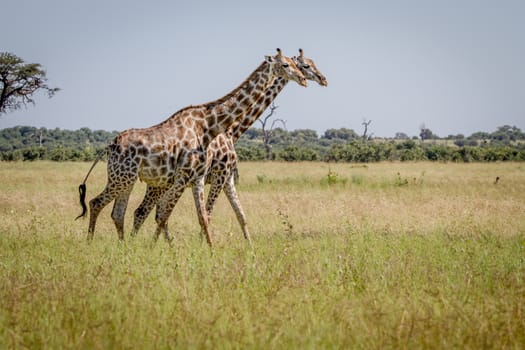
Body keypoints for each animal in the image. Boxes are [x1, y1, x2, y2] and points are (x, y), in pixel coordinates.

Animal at [78, 49, 308, 246]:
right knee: (98, 203)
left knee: (118, 213)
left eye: (297, 64)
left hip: (129, 179)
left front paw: (212, 251)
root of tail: (110, 146)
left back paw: (125, 247)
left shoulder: (198, 177)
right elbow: (169, 216)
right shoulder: (188, 176)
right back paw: (91, 244)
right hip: (124, 178)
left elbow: (205, 217)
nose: (304, 79)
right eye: (286, 64)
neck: (209, 126)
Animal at [137, 49, 328, 243]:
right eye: (305, 65)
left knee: (157, 213)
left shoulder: (228, 178)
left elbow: (240, 215)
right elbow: (209, 214)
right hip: (160, 185)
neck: (232, 132)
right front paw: (202, 245)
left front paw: (250, 246)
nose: (323, 79)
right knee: (144, 211)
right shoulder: (219, 175)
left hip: (165, 184)